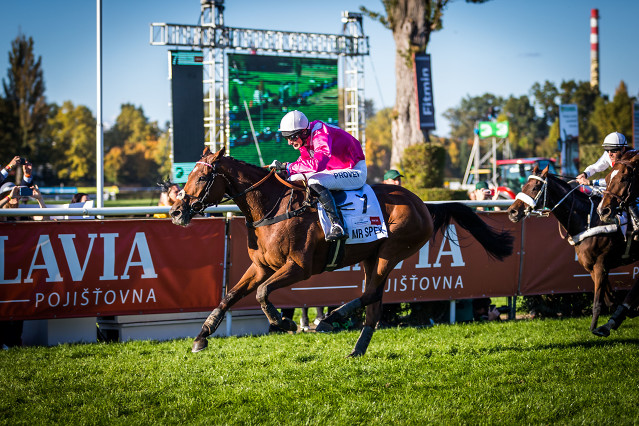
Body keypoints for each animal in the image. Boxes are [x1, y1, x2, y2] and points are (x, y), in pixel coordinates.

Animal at [171, 147, 516, 356]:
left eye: (202, 177)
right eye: (187, 176)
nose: (176, 211)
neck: (273, 208)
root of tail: (423, 204)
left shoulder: (299, 267)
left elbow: (262, 293)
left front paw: (285, 323)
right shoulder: (261, 267)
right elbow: (230, 295)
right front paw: (202, 336)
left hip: (391, 250)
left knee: (371, 295)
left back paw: (331, 319)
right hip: (370, 257)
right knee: (374, 304)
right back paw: (356, 348)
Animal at [510, 166, 639, 336]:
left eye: (535, 187)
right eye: (524, 186)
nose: (512, 212)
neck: (589, 219)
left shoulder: (601, 265)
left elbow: (598, 301)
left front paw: (595, 328)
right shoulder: (591, 267)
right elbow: (609, 299)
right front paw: (624, 314)